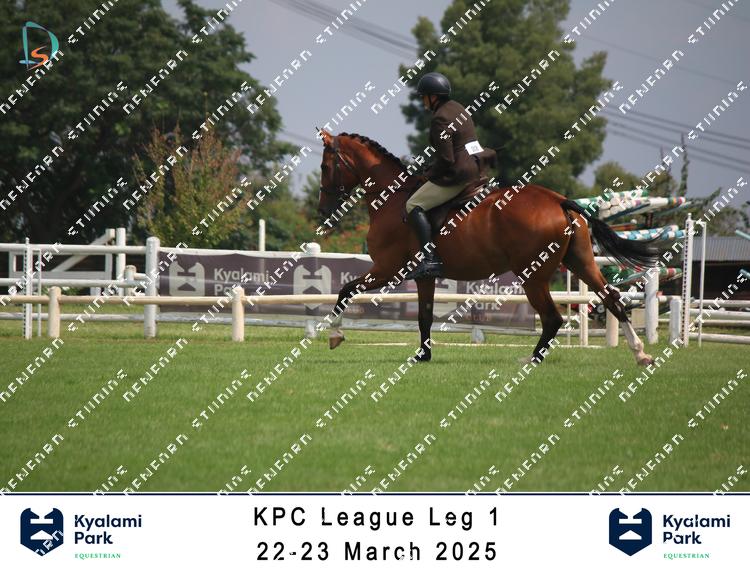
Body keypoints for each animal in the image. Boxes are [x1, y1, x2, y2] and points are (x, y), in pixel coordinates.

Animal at [316, 129, 659, 367]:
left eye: (324, 166)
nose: (323, 210)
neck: (393, 198)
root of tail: (559, 201)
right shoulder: (423, 276)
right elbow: (424, 315)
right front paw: (423, 356)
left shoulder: (388, 269)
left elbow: (345, 291)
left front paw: (334, 335)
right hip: (581, 263)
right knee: (612, 298)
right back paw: (640, 354)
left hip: (533, 275)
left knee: (552, 318)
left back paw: (532, 359)